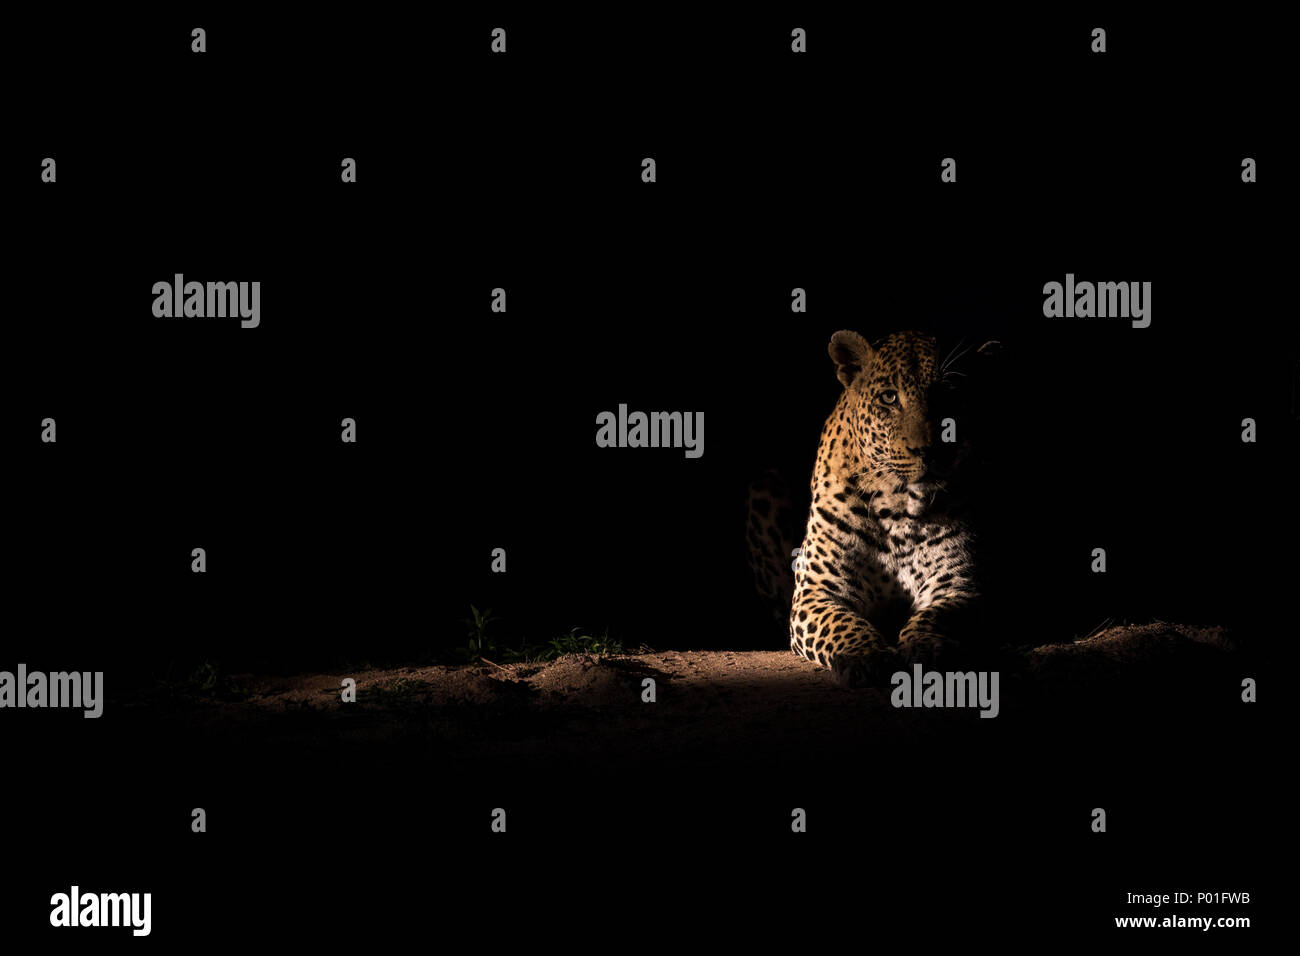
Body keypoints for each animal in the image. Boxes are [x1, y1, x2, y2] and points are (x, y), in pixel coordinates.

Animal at [787, 329, 997, 687]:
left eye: (948, 393)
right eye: (889, 398)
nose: (927, 450)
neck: (898, 507)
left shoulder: (958, 585)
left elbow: (934, 617)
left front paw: (925, 647)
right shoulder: (817, 590)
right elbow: (840, 623)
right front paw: (865, 654)